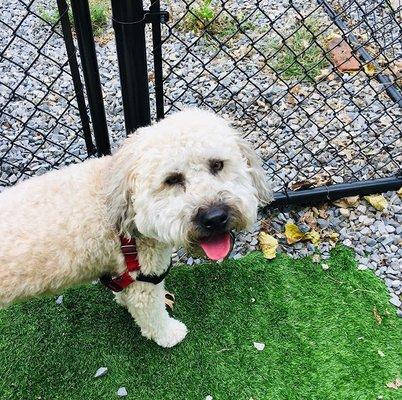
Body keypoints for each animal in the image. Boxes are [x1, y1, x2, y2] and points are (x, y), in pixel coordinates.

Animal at [0, 109, 272, 346]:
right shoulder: (145, 277)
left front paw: (121, 300)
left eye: (217, 165)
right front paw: (170, 334)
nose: (215, 217)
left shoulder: (122, 272)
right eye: (172, 180)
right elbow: (152, 315)